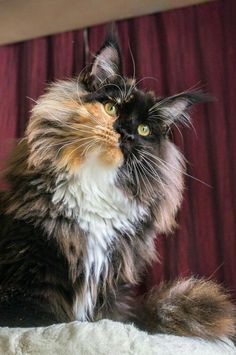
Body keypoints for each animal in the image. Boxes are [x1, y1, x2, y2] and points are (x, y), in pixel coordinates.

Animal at [0, 32, 234, 340]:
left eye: (144, 129)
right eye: (111, 107)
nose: (126, 132)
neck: (95, 182)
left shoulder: (113, 277)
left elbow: (109, 318)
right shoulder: (33, 257)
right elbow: (37, 319)